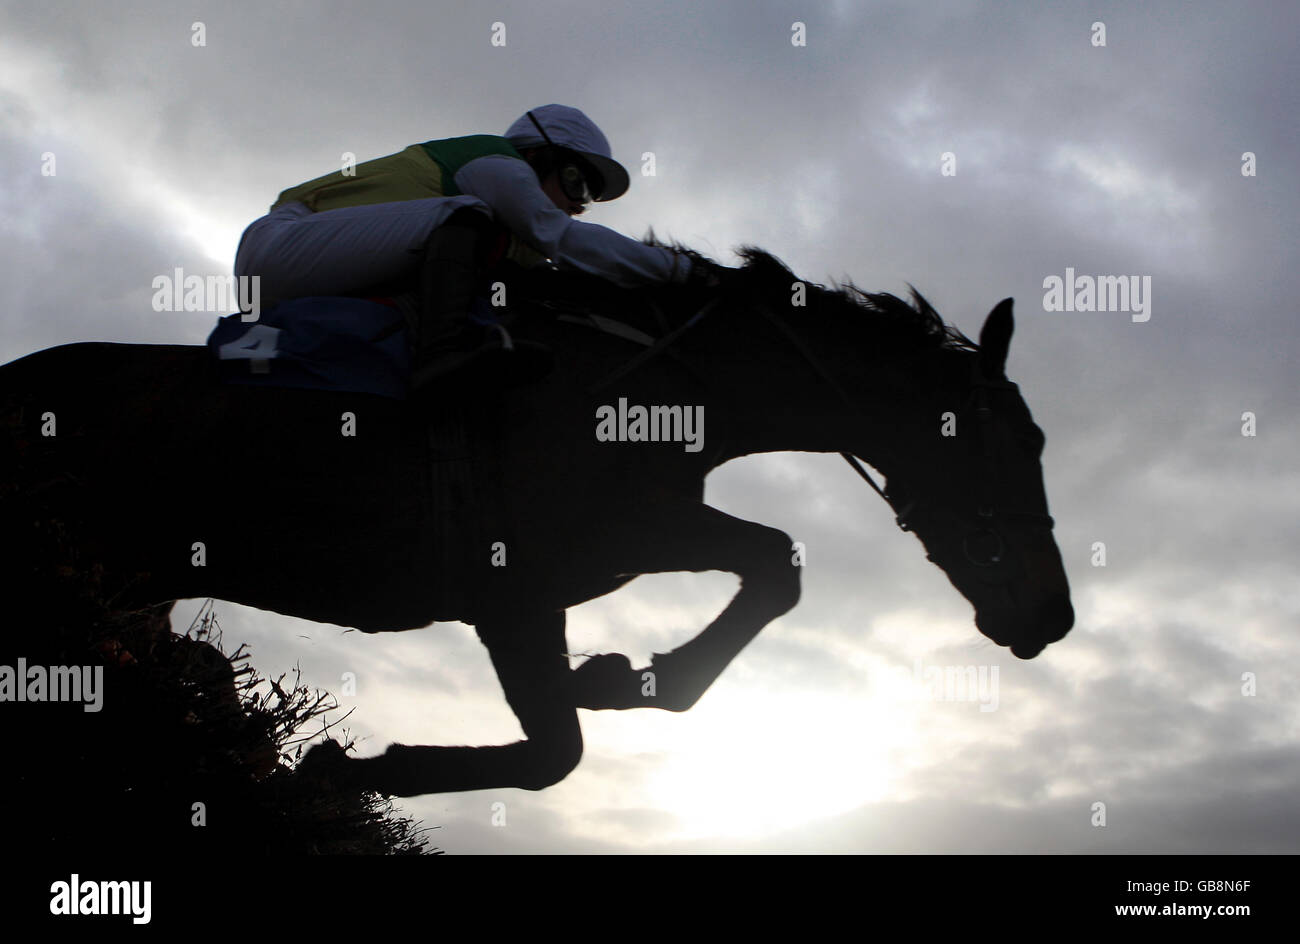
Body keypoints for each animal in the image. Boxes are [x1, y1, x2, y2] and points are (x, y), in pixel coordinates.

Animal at [0, 247, 1073, 797]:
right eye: (1022, 439)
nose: (1052, 616)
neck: (654, 380)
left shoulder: (614, 544)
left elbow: (772, 566)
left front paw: (628, 677)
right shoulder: (517, 585)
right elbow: (559, 754)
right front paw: (347, 766)